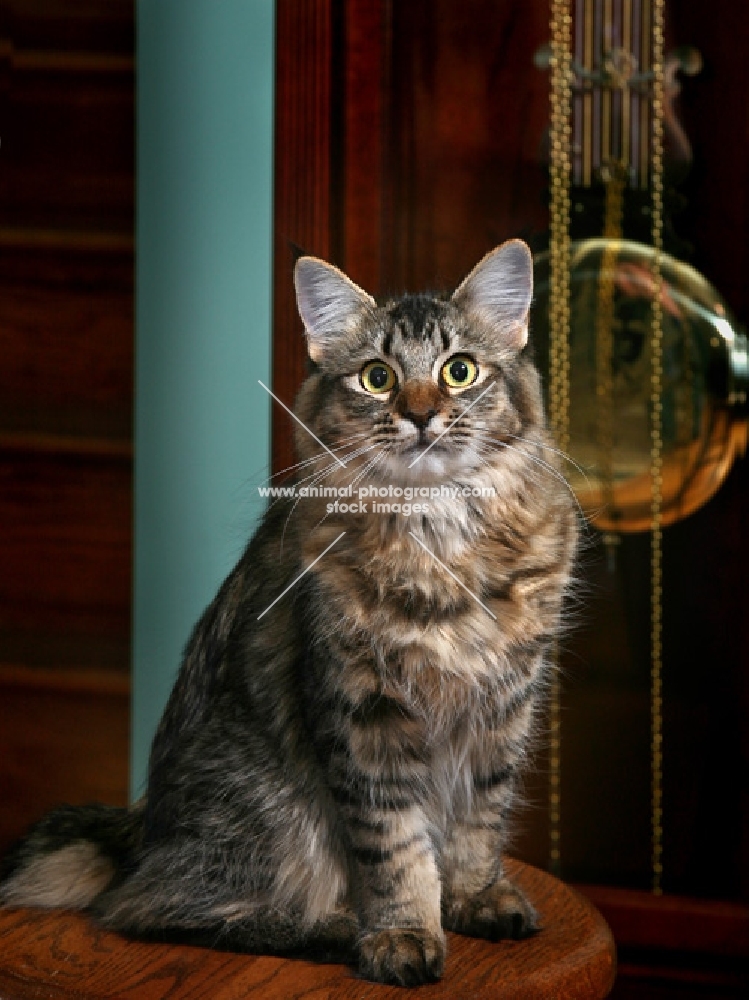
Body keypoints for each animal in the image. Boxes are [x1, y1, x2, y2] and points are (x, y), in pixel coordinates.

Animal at [0, 240, 580, 984]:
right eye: (377, 378)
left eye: (459, 371)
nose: (421, 415)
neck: (436, 540)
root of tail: (139, 832)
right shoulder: (362, 710)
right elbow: (395, 847)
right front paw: (402, 936)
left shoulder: (502, 706)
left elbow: (480, 822)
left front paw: (476, 899)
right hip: (271, 813)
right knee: (150, 908)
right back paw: (334, 930)